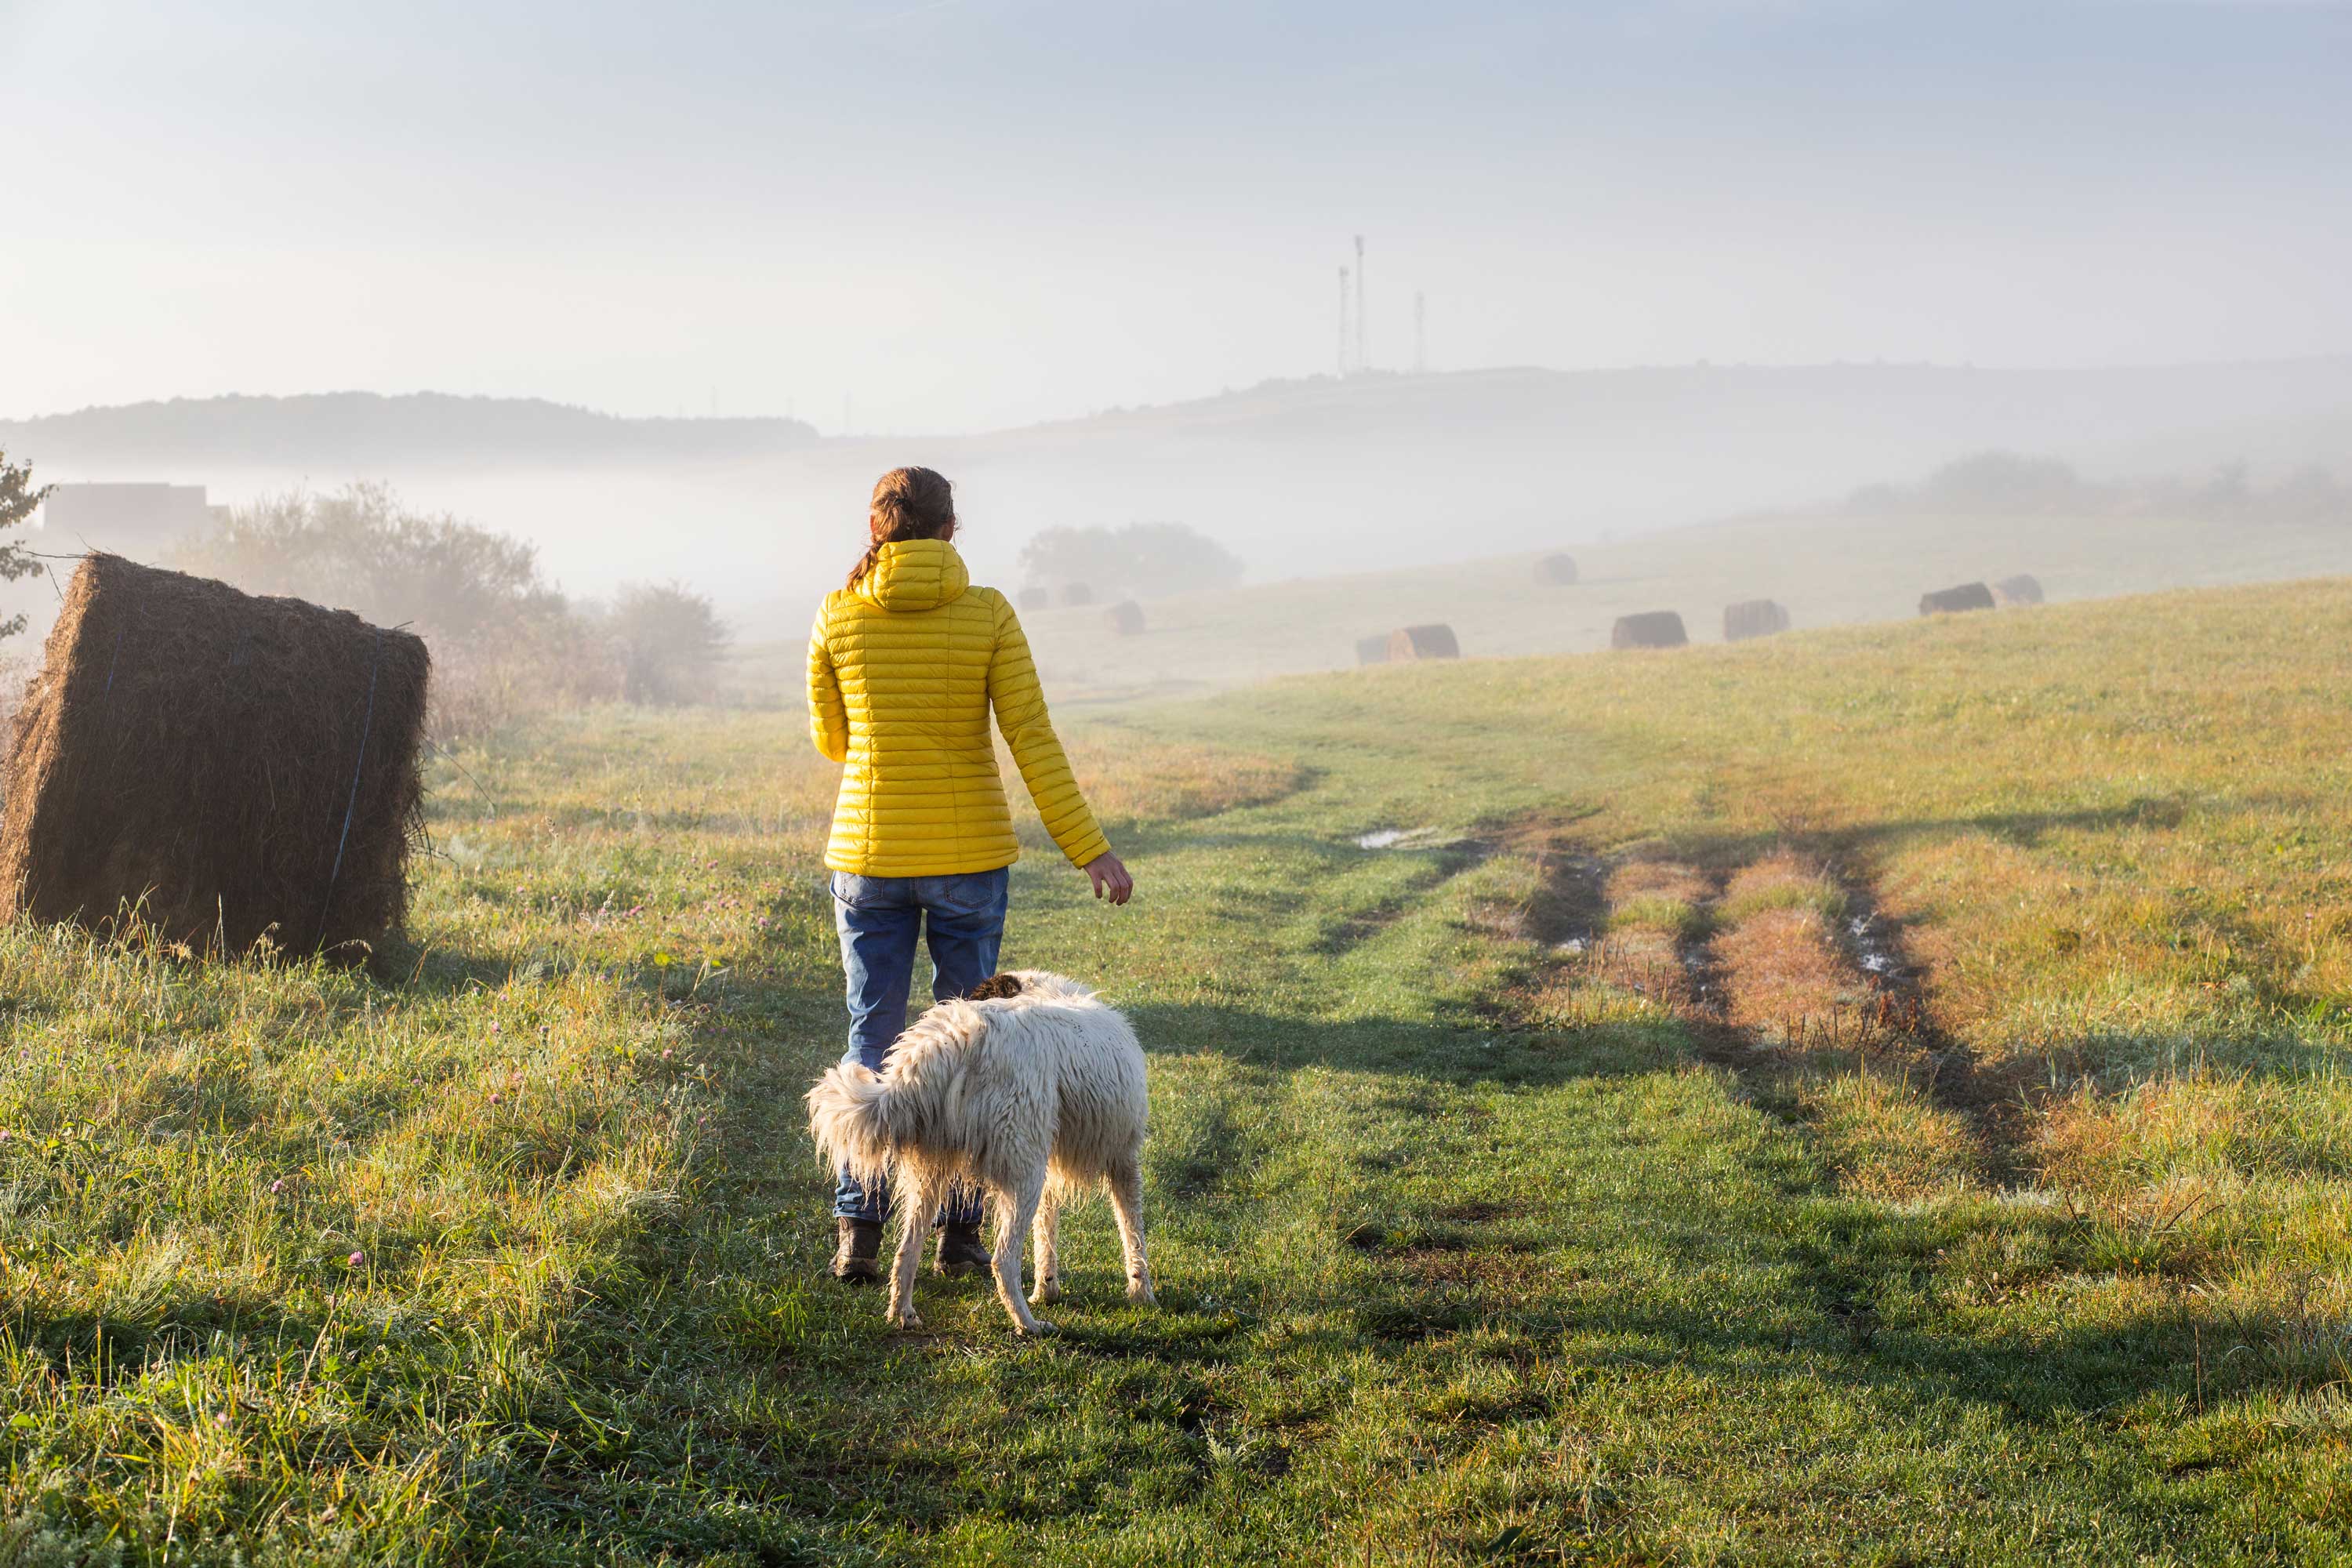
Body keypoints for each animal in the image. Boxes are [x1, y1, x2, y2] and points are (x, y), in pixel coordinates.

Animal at [804, 968, 1152, 1335]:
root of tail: (953, 1040)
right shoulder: (1124, 1161)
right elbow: (1133, 1234)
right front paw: (1142, 1293)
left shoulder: (1054, 1171)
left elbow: (1046, 1236)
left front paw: (1047, 1290)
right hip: (1024, 1174)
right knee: (1004, 1260)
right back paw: (1029, 1325)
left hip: (933, 1176)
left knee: (906, 1251)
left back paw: (903, 1315)